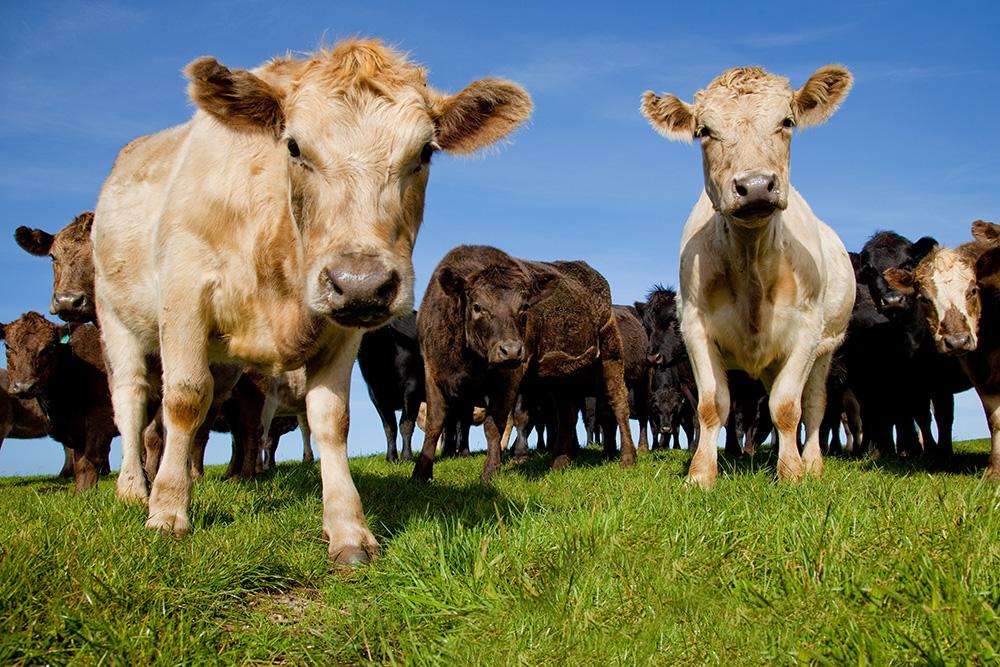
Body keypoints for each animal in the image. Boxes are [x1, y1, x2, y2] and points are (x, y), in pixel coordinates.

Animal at [0, 313, 116, 492]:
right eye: (7, 346)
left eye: (49, 347)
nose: (24, 386)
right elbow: (79, 462)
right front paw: (82, 494)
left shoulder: (102, 419)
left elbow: (91, 461)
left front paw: (87, 493)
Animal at [357, 311, 424, 463]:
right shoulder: (375, 394)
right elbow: (389, 427)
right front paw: (391, 458)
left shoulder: (412, 387)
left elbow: (405, 424)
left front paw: (407, 457)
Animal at [641, 65, 856, 486]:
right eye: (704, 131)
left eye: (787, 121)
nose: (755, 185)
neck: (751, 262)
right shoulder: (696, 328)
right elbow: (712, 406)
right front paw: (701, 475)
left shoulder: (806, 331)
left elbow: (788, 407)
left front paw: (792, 473)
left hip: (826, 346)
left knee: (813, 404)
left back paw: (812, 462)